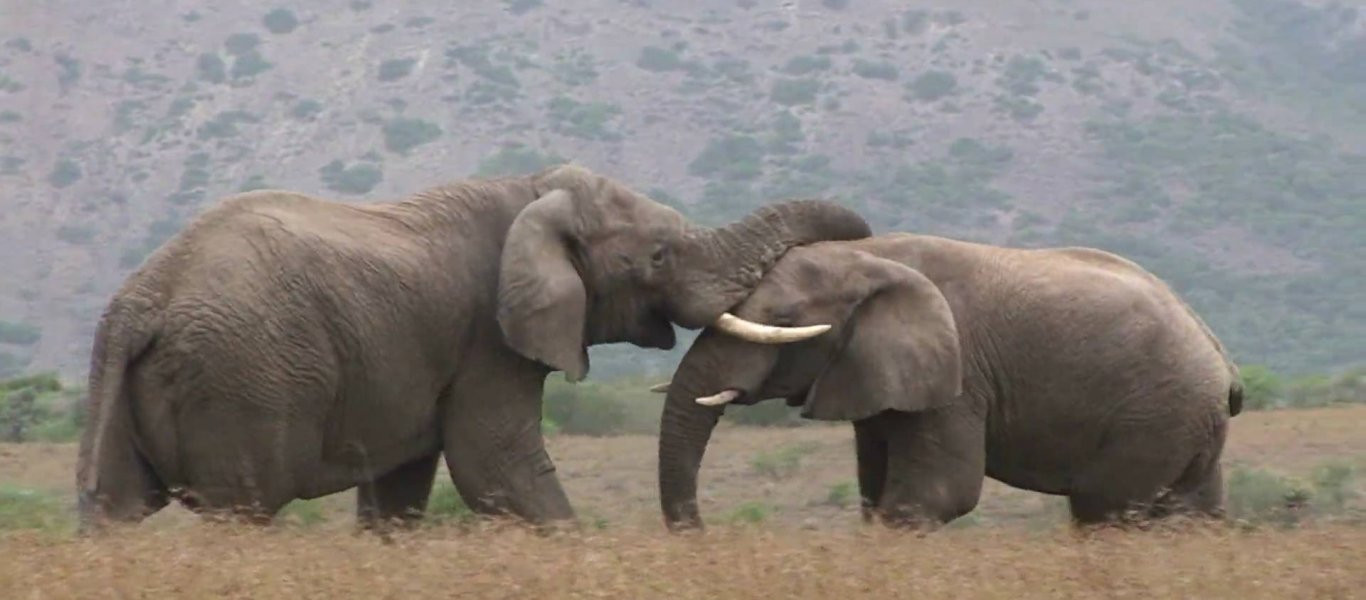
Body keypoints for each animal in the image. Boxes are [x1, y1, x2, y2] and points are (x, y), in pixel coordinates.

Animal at [74, 161, 863, 533]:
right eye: (659, 256)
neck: (532, 191)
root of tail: (140, 301)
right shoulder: (489, 336)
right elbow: (496, 468)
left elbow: (400, 492)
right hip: (241, 382)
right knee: (245, 511)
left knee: (112, 509)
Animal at [655, 232, 1245, 533]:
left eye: (782, 319)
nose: (702, 536)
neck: (871, 256)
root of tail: (1221, 356)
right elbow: (876, 492)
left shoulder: (958, 375)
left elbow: (933, 496)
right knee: (1193, 513)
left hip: (1156, 416)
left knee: (1104, 508)